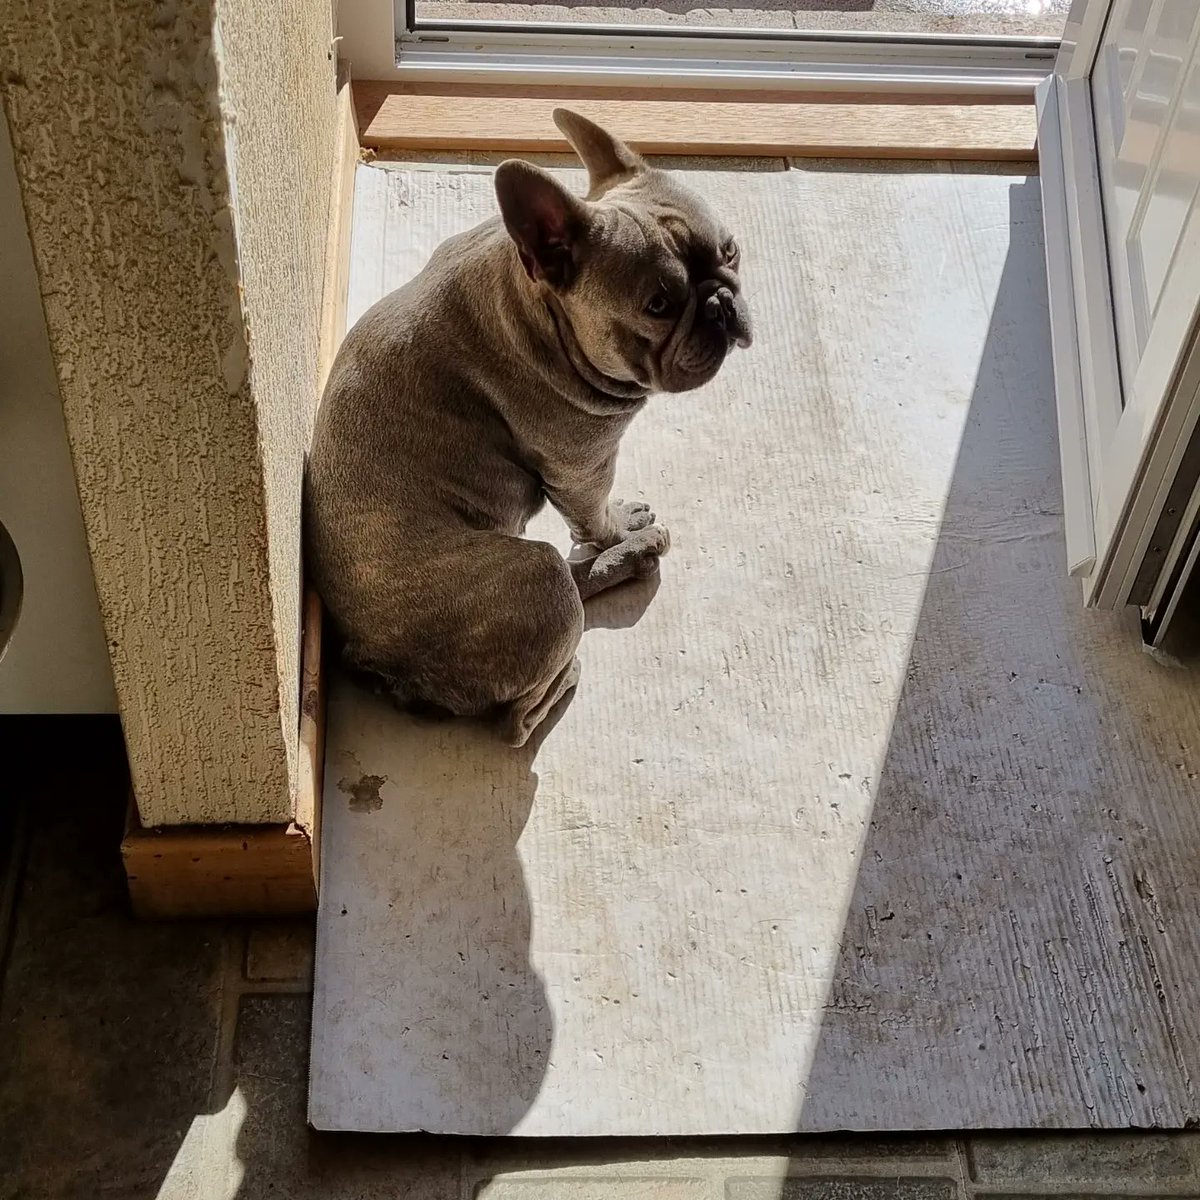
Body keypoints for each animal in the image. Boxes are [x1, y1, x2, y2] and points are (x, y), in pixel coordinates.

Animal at [309, 108, 753, 744]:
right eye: (658, 305)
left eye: (731, 250)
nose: (720, 304)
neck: (538, 306)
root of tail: (372, 657)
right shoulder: (583, 465)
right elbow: (596, 518)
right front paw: (620, 528)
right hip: (538, 580)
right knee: (520, 714)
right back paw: (579, 651)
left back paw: (628, 561)